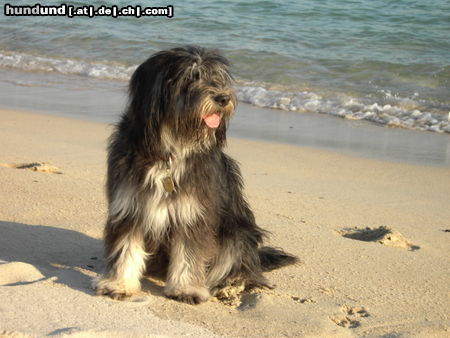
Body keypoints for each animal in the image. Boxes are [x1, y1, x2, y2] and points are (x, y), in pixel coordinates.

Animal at [95, 45, 298, 304]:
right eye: (191, 77)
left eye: (218, 78)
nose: (223, 98)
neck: (170, 150)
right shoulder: (129, 207)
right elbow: (126, 249)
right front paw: (119, 284)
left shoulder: (192, 213)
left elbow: (189, 254)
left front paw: (186, 289)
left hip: (237, 232)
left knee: (243, 267)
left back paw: (230, 285)